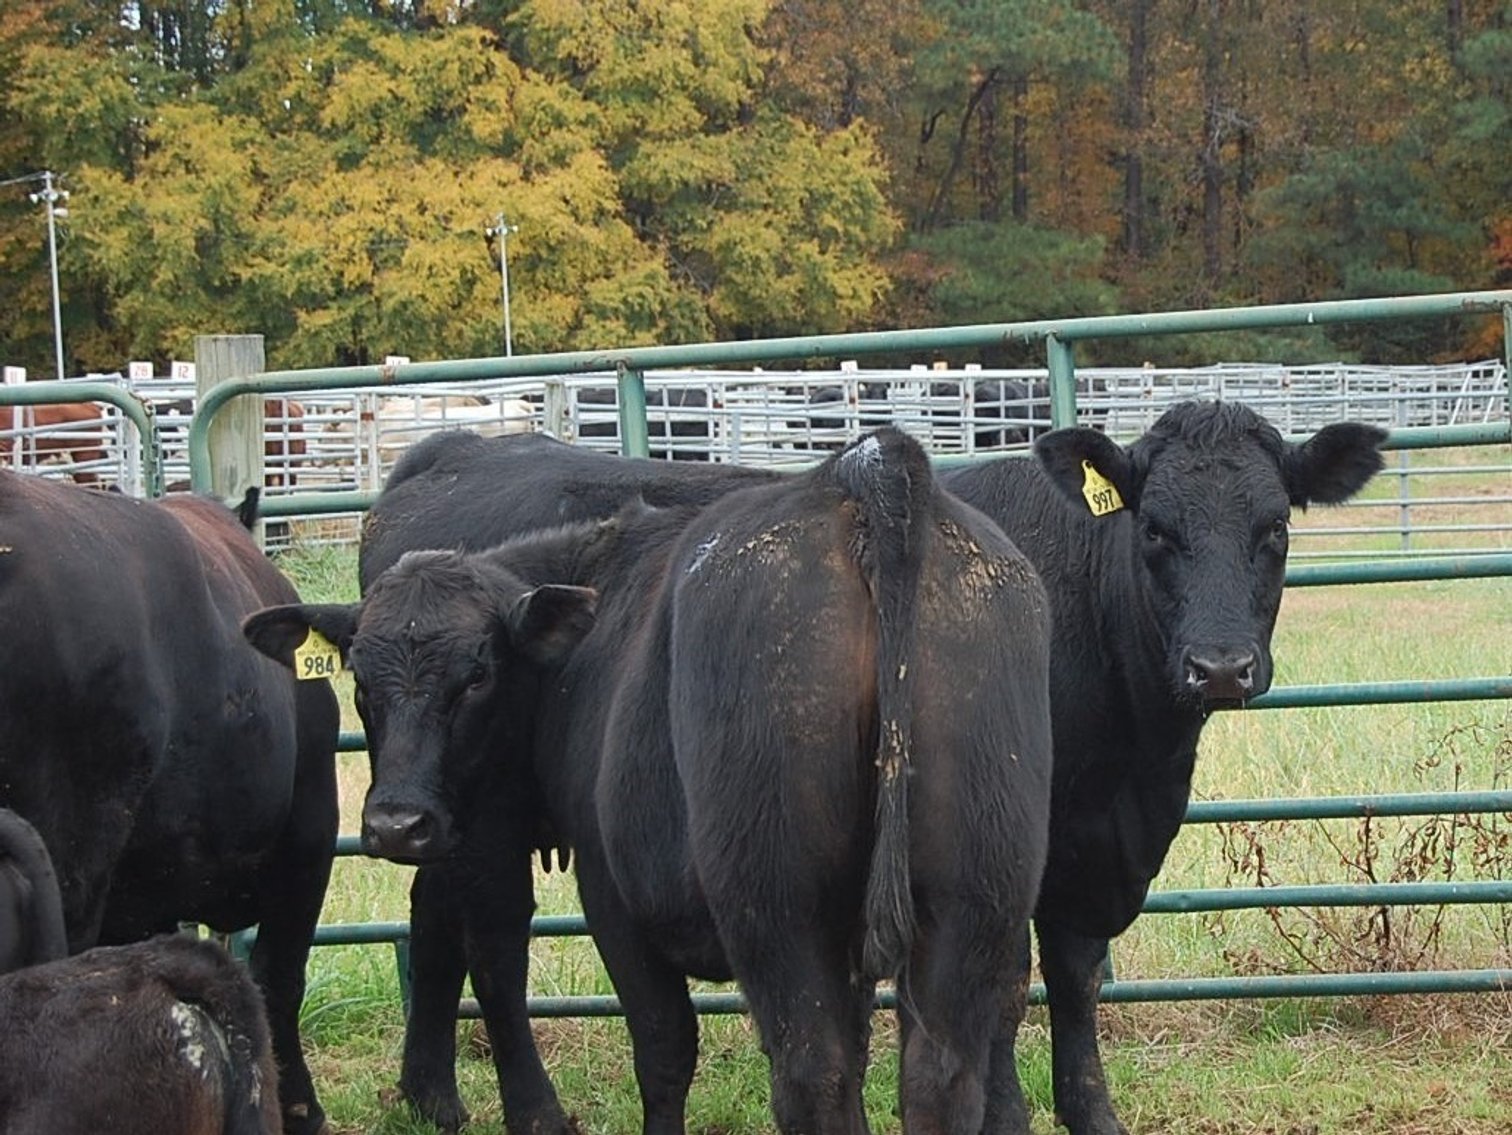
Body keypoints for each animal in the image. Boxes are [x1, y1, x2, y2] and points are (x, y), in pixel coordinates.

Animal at [247, 428, 1055, 1135]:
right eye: (360, 681)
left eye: (478, 676)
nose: (394, 821)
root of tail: (863, 478)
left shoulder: (609, 891)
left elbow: (663, 1048)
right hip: (968, 894)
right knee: (935, 1076)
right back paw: (435, 1097)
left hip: (777, 903)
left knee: (809, 1072)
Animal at [941, 400, 1385, 1135]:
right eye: (1153, 527)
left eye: (1277, 525)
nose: (1221, 667)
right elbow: (1001, 986)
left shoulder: (1093, 851)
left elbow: (1076, 976)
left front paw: (1093, 1114)